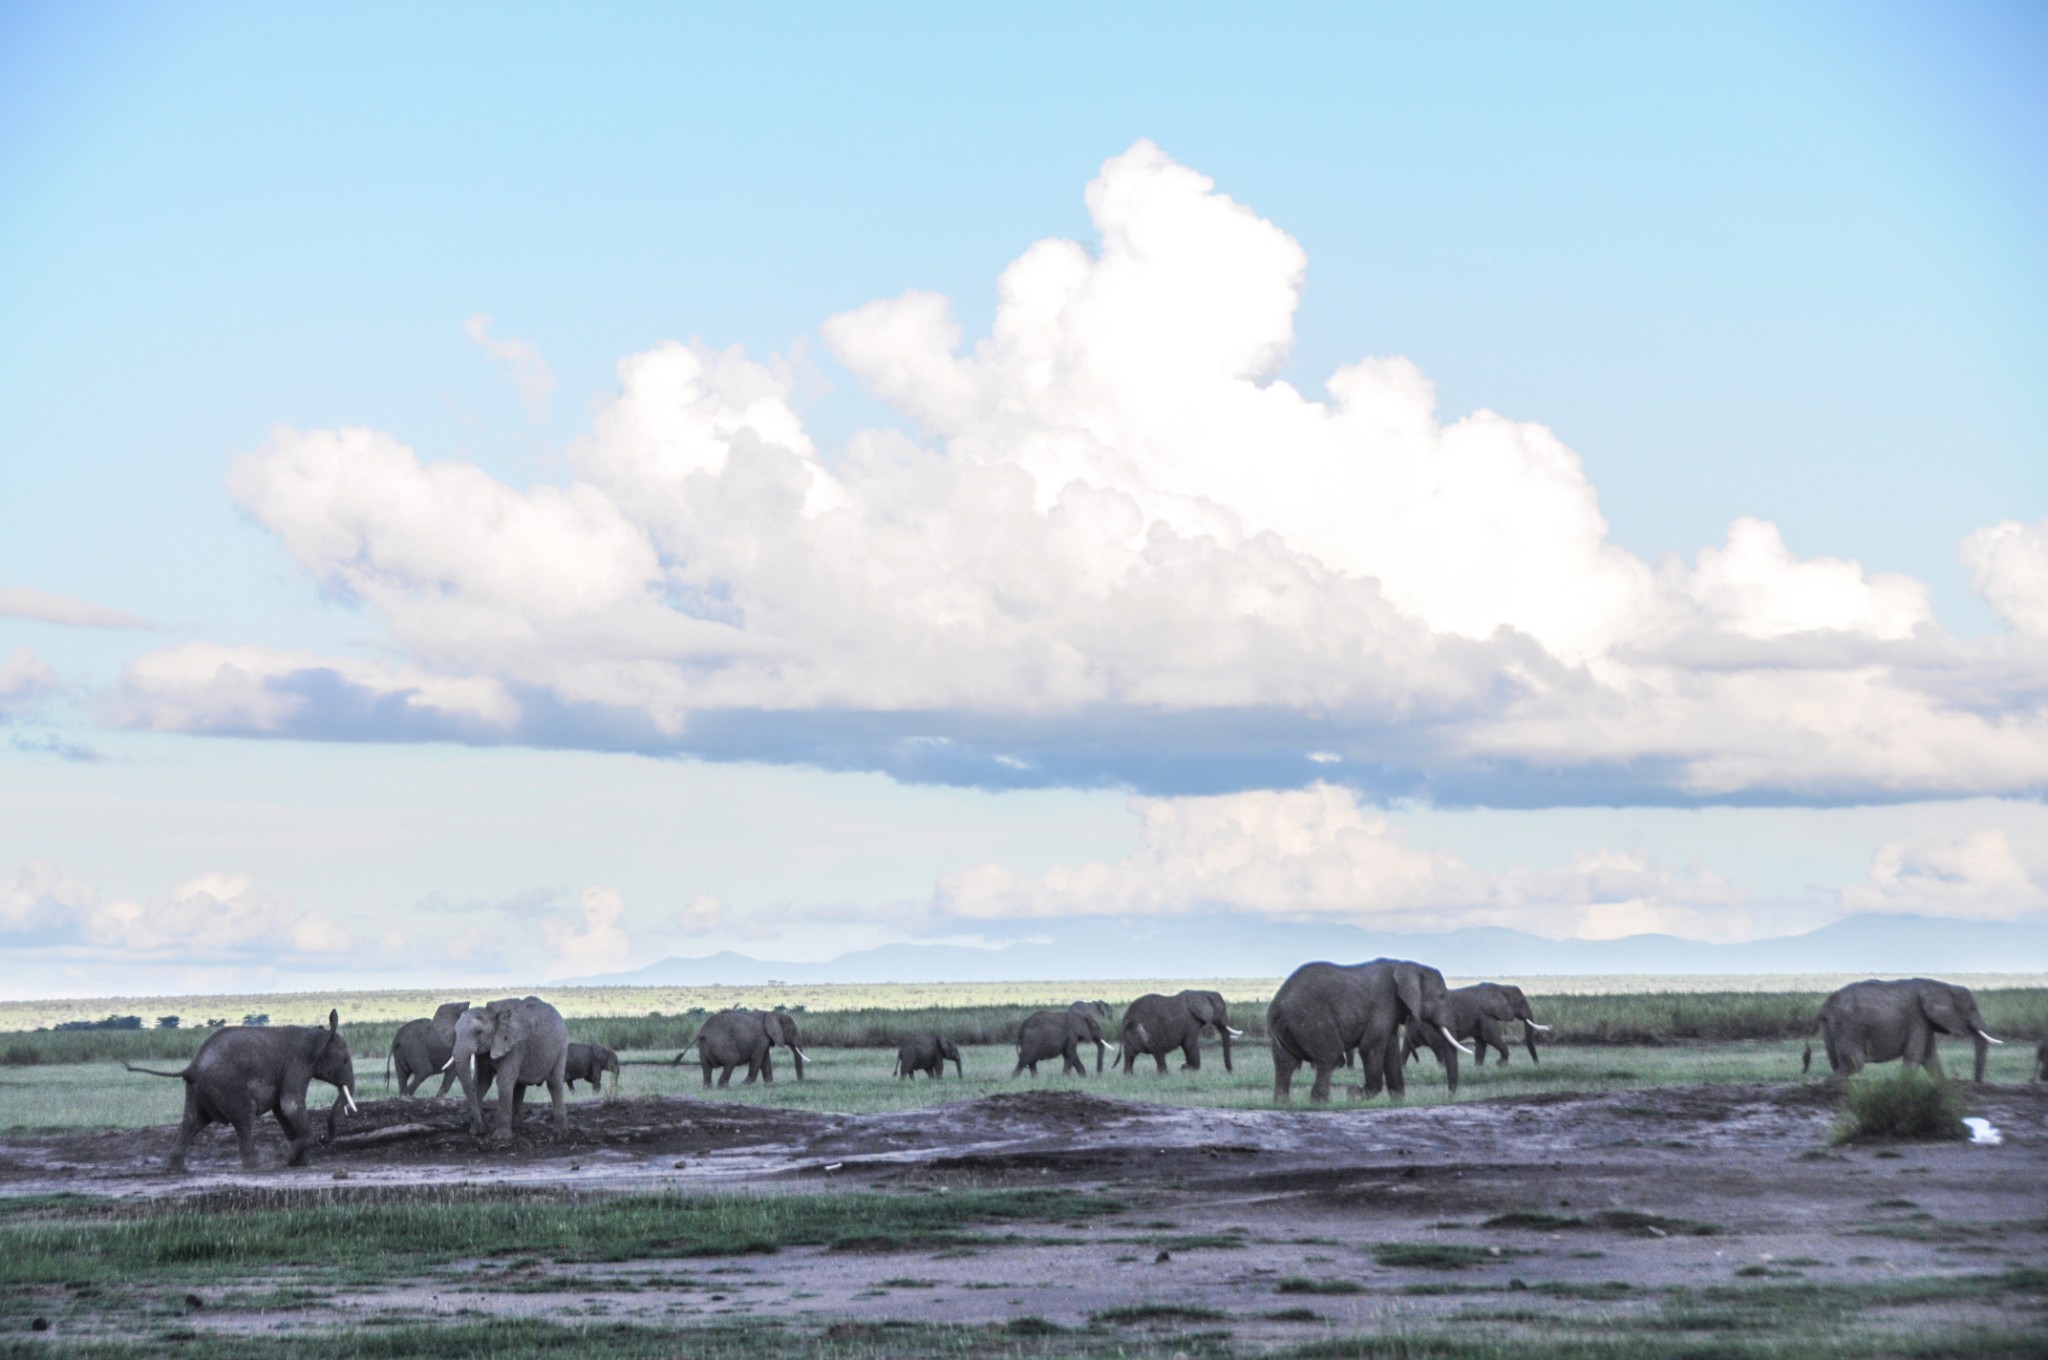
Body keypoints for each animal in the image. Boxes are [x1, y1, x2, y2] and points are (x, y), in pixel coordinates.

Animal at [123, 1003, 358, 1171]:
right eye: (345, 1060)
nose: (323, 1139)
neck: (316, 1036)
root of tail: (192, 1067)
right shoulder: (297, 1065)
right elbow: (290, 1105)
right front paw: (287, 1155)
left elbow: (283, 1111)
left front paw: (299, 1163)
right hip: (227, 1086)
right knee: (245, 1115)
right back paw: (256, 1165)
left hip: (198, 1090)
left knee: (192, 1121)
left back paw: (175, 1169)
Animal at [446, 995, 569, 1138]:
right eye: (455, 1032)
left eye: (478, 1032)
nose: (483, 1129)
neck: (491, 1013)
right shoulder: (484, 1052)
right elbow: (482, 1082)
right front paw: (475, 1131)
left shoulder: (514, 1046)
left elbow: (504, 1081)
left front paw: (500, 1137)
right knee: (519, 1086)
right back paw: (517, 1127)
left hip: (561, 1046)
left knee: (554, 1083)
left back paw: (560, 1133)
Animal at [1261, 954, 1474, 1106]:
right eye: (1441, 996)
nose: (1449, 1096)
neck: (1406, 965)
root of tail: (1277, 1005)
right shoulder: (1383, 1004)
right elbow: (1370, 1047)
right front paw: (1353, 1094)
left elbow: (1390, 1050)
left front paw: (1397, 1101)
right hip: (1310, 1020)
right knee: (1329, 1058)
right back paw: (1321, 1103)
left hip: (1284, 1028)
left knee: (1285, 1062)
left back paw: (1283, 1104)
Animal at [1409, 983, 1548, 1065]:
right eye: (1520, 1002)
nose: (1536, 1063)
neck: (1500, 987)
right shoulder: (1485, 1013)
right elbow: (1490, 1036)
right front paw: (1500, 1064)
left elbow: (1481, 1041)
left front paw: (1478, 1068)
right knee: (1436, 1044)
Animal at [1802, 979, 2007, 1081]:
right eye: (1971, 1008)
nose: (1976, 1082)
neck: (1942, 985)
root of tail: (1824, 1007)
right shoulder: (1917, 1017)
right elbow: (1915, 1056)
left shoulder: (1924, 1020)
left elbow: (1930, 1058)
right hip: (1848, 1025)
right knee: (1854, 1064)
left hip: (1830, 1026)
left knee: (1837, 1063)